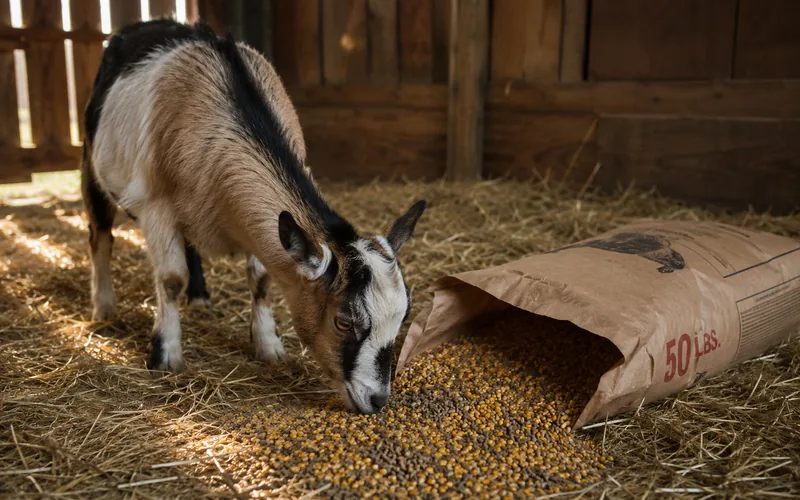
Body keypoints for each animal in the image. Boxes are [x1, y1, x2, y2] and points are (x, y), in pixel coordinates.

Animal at [80, 19, 426, 414]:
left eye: (402, 317)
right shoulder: (157, 205)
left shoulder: (262, 228)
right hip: (91, 162)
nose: (376, 399)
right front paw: (165, 355)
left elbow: (260, 279)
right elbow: (170, 279)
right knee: (100, 235)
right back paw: (103, 307)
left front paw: (268, 345)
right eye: (343, 322)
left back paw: (200, 297)